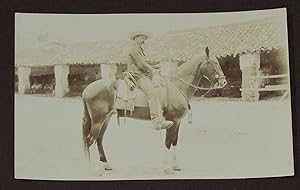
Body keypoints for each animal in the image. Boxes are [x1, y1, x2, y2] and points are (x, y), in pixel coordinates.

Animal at [81, 46, 226, 174]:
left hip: (105, 119)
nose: (223, 82)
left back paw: (106, 165)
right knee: (89, 140)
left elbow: (174, 141)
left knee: (99, 139)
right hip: (98, 120)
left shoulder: (177, 121)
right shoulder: (172, 120)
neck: (177, 86)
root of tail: (86, 90)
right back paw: (90, 170)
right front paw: (167, 168)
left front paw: (175, 166)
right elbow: (168, 142)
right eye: (213, 63)